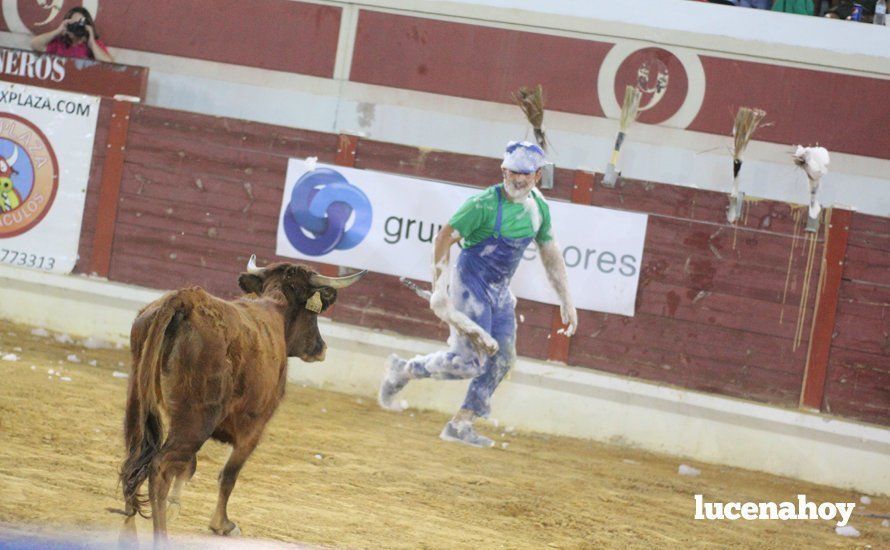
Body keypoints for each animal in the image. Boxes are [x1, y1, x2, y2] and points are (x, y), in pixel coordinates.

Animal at [118, 256, 364, 544]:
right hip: (195, 420)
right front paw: (222, 524)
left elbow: (189, 467)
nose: (321, 347)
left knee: (134, 459)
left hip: (138, 400)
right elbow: (228, 474)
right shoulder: (254, 429)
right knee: (159, 467)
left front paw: (177, 505)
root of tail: (185, 299)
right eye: (313, 313)